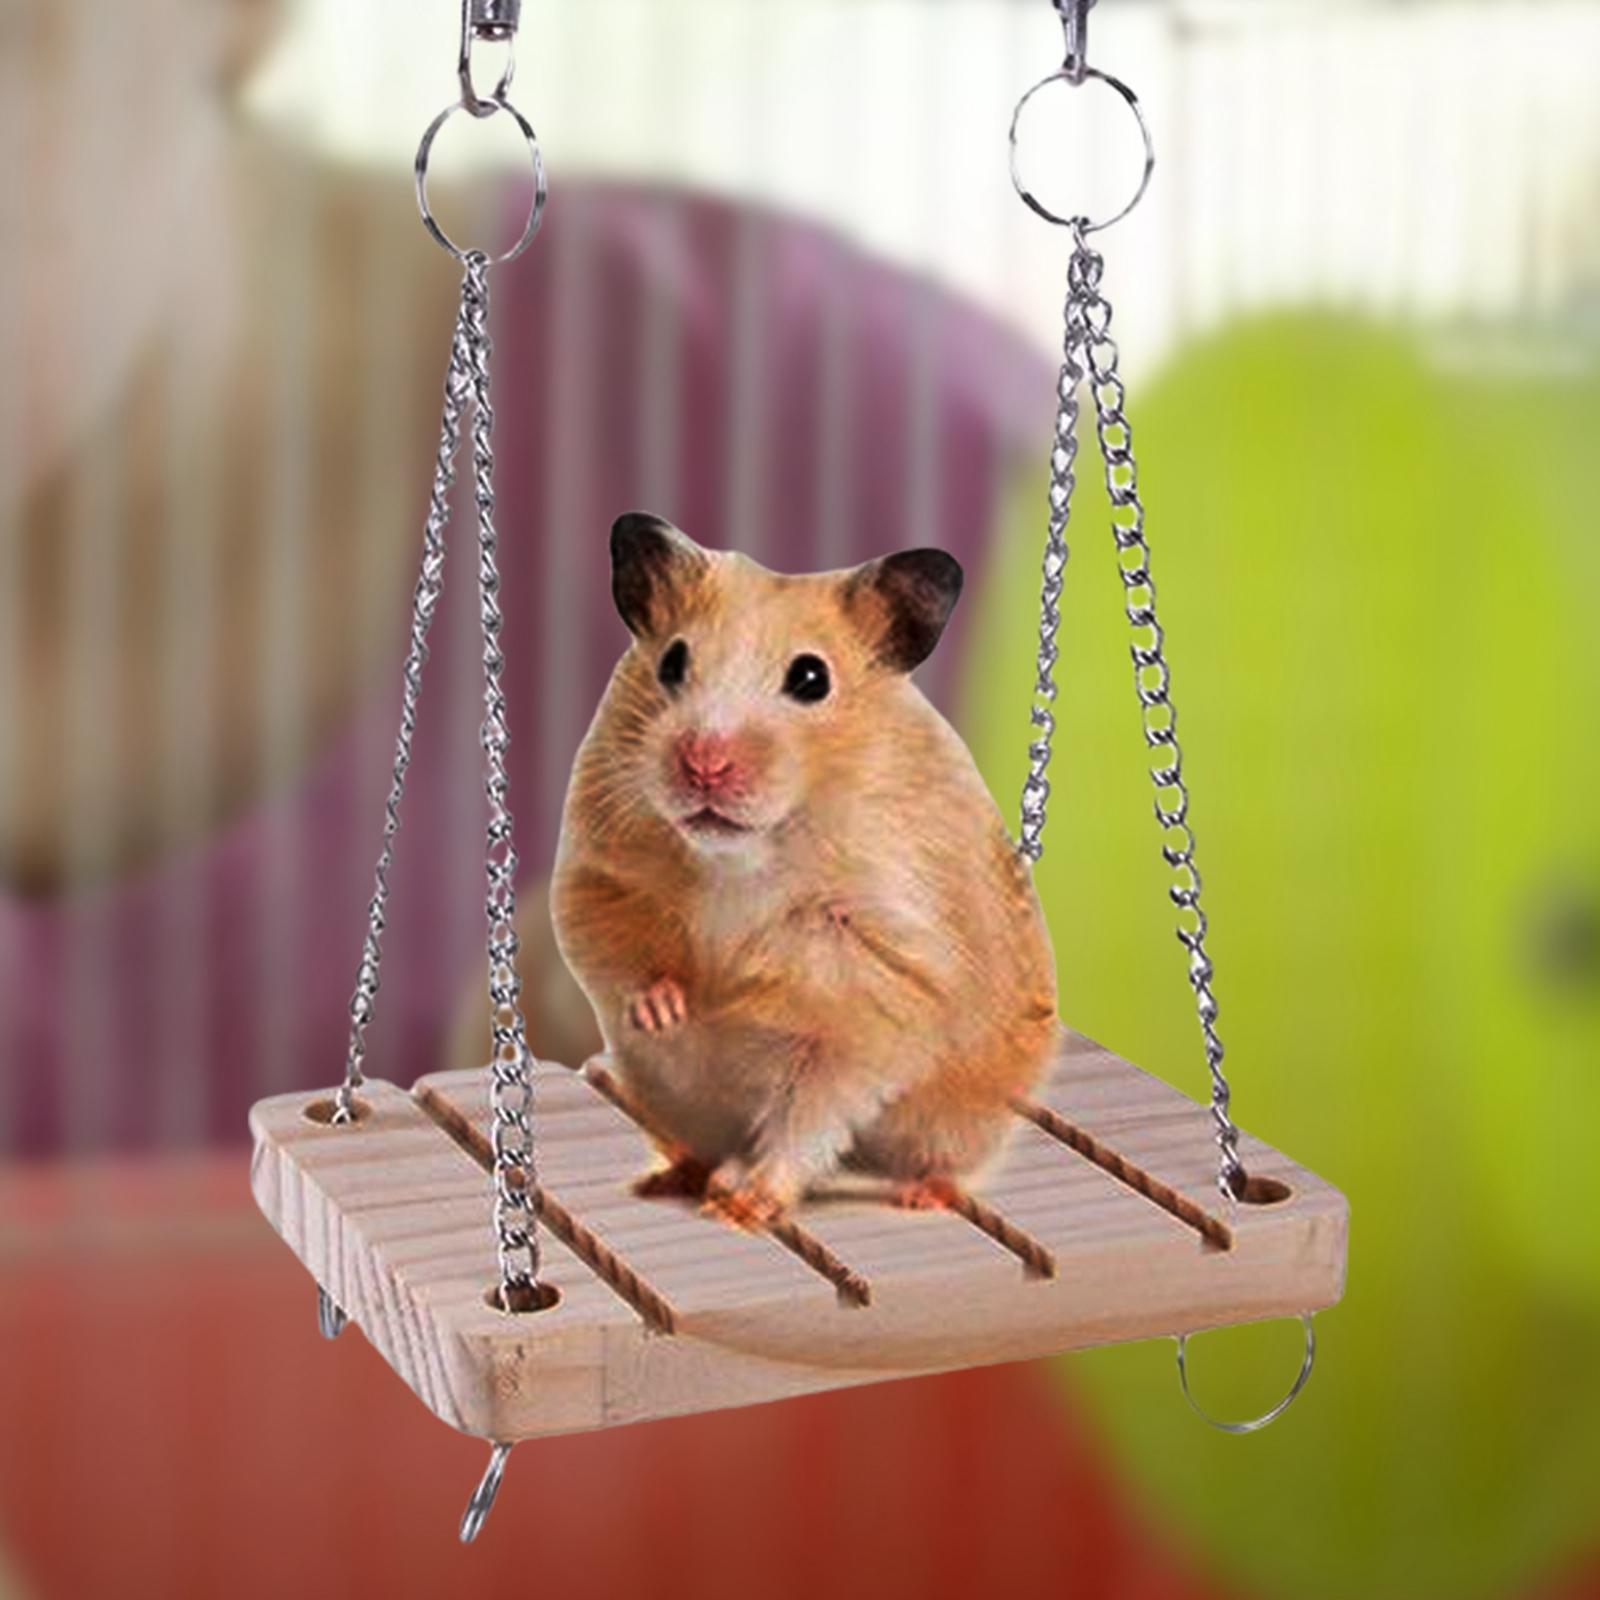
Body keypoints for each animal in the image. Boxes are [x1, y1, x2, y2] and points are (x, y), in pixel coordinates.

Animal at [550, 513, 1058, 1227]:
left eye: (812, 679)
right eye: (672, 661)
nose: (703, 764)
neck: (740, 858)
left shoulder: (883, 984)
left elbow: (808, 1110)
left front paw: (744, 1202)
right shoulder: (597, 877)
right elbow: (621, 952)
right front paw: (672, 1010)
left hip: (962, 1116)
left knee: (938, 1157)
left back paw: (918, 1194)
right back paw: (672, 1177)